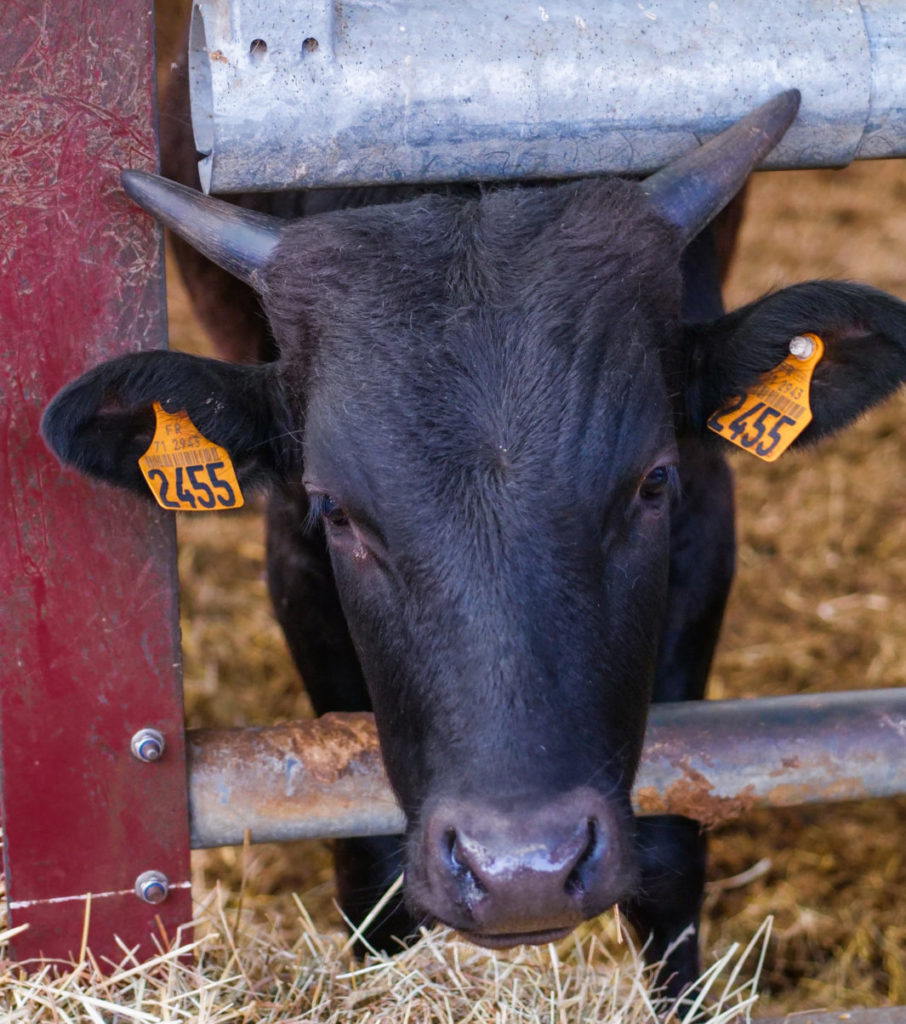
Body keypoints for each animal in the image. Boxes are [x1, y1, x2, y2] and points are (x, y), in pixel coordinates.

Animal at [44, 92, 906, 995]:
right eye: (335, 510)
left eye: (653, 482)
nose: (523, 869)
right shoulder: (296, 566)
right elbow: (369, 863)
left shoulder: (706, 525)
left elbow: (672, 854)